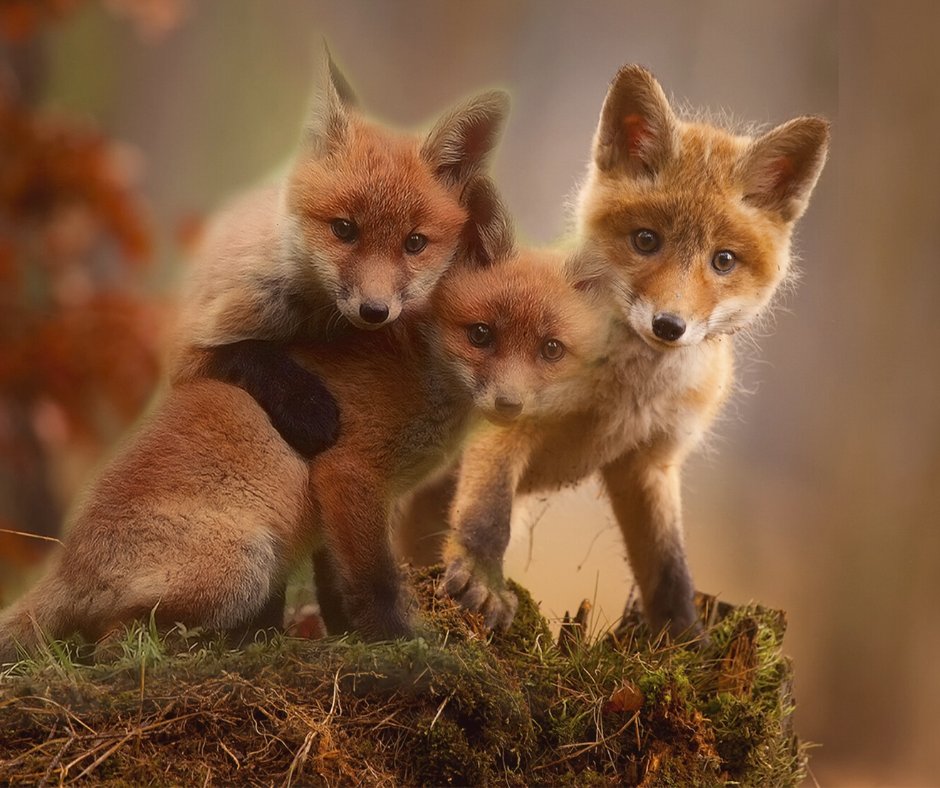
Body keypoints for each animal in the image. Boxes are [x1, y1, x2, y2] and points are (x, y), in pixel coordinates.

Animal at [0, 181, 611, 659]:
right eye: (480, 335)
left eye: (550, 350)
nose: (510, 405)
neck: (422, 374)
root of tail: (66, 563)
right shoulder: (349, 473)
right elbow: (373, 582)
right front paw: (399, 643)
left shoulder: (341, 507)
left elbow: (337, 586)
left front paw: (349, 636)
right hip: (245, 566)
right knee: (110, 645)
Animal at [171, 47, 509, 458]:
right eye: (344, 229)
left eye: (414, 243)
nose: (375, 311)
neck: (314, 321)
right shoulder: (189, 349)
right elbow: (250, 353)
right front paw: (307, 407)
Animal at [401, 64, 830, 637]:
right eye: (646, 240)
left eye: (723, 260)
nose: (669, 325)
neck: (625, 394)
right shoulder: (509, 413)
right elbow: (488, 516)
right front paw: (482, 581)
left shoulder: (650, 462)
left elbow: (669, 566)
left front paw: (685, 637)